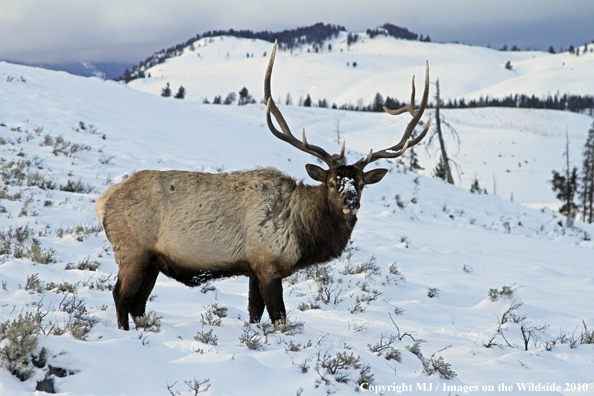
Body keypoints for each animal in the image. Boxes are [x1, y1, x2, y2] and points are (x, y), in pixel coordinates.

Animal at [93, 41, 430, 332]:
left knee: (138, 304)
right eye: (333, 182)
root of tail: (101, 202)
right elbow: (279, 317)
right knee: (121, 297)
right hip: (132, 250)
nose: (350, 201)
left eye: (359, 183)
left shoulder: (253, 268)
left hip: (151, 261)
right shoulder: (268, 263)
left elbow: (254, 314)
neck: (304, 234)